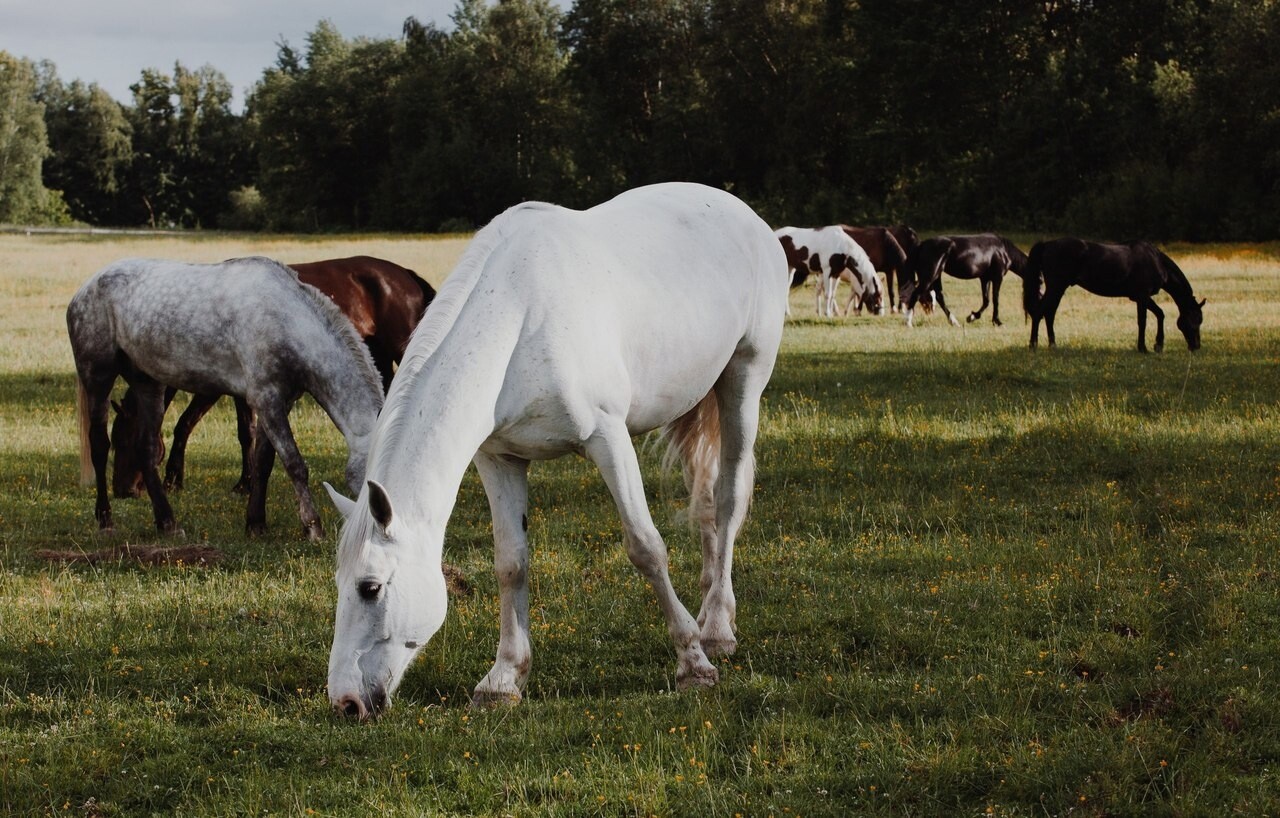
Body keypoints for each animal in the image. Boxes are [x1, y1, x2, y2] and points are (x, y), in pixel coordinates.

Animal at [68, 256, 384, 537]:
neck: (287, 320)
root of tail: (84, 289)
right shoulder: (267, 400)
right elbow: (294, 464)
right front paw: (313, 527)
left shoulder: (279, 403)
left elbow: (264, 463)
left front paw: (255, 523)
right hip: (98, 377)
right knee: (98, 445)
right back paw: (105, 520)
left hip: (149, 385)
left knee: (146, 448)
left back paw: (168, 523)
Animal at [111, 256, 430, 499]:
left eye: (124, 441)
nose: (123, 491)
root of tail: (405, 274)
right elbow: (239, 431)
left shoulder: (215, 389)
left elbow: (192, 425)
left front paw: (184, 480)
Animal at [325, 181, 783, 721]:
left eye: (370, 587)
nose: (346, 701)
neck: (518, 321)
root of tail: (743, 214)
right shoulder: (499, 459)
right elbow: (510, 564)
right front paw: (503, 679)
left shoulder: (608, 439)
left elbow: (646, 547)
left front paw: (692, 664)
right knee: (708, 499)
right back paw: (712, 608)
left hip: (744, 380)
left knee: (729, 497)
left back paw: (716, 629)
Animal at [901, 231, 1029, 327]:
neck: (1003, 250)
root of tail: (922, 245)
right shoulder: (997, 277)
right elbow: (995, 299)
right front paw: (997, 322)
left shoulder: (985, 278)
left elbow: (986, 300)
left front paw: (972, 317)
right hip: (930, 276)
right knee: (916, 294)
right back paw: (908, 323)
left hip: (936, 276)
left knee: (939, 297)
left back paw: (954, 322)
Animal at [1018, 236, 1208, 353]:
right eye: (1195, 320)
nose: (1196, 346)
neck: (1155, 260)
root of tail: (1047, 244)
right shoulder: (1142, 296)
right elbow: (1143, 321)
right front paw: (1144, 348)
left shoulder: (1140, 297)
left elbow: (1159, 314)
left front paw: (1158, 345)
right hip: (1056, 287)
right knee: (1039, 312)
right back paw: (1033, 345)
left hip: (1058, 289)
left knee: (1049, 314)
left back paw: (1053, 345)